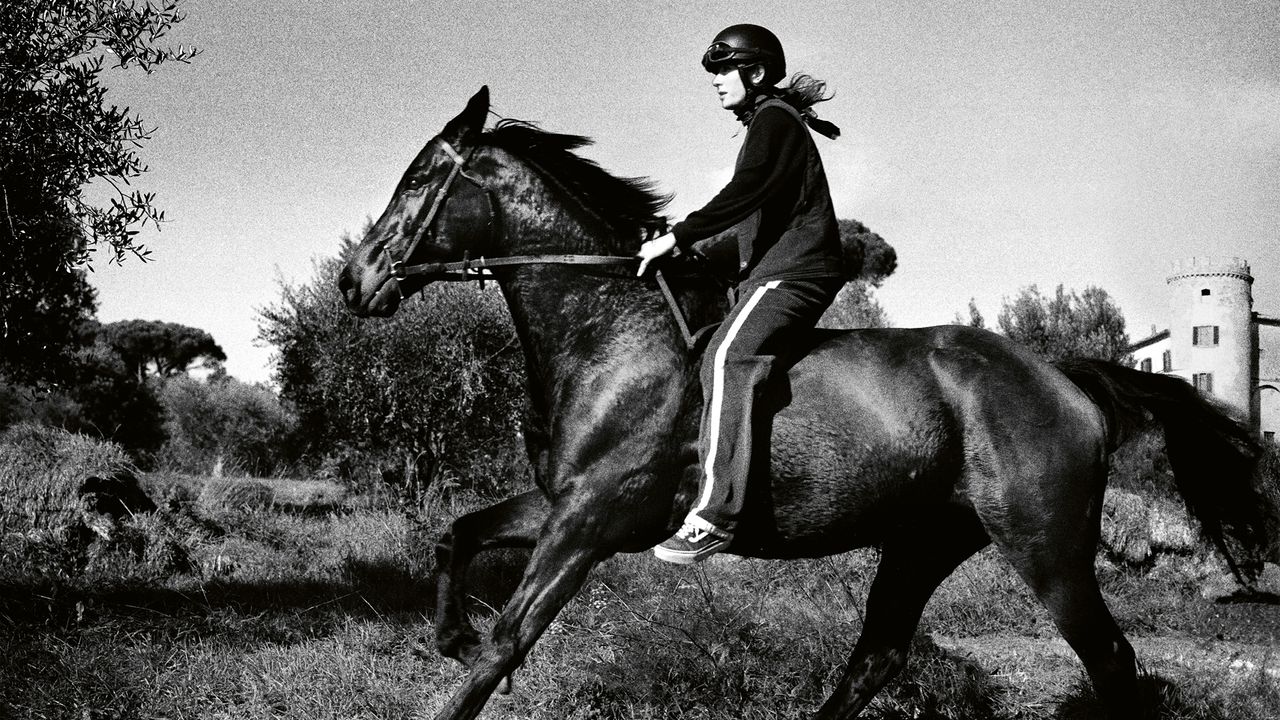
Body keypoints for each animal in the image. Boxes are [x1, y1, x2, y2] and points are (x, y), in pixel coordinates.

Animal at [339, 87, 1269, 720]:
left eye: (421, 178)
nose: (355, 281)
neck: (612, 327)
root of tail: (1063, 377)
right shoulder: (565, 501)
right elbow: (457, 536)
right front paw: (449, 634)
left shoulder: (593, 518)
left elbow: (508, 641)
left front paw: (466, 659)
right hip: (927, 538)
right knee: (878, 656)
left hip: (1048, 546)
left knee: (1110, 659)